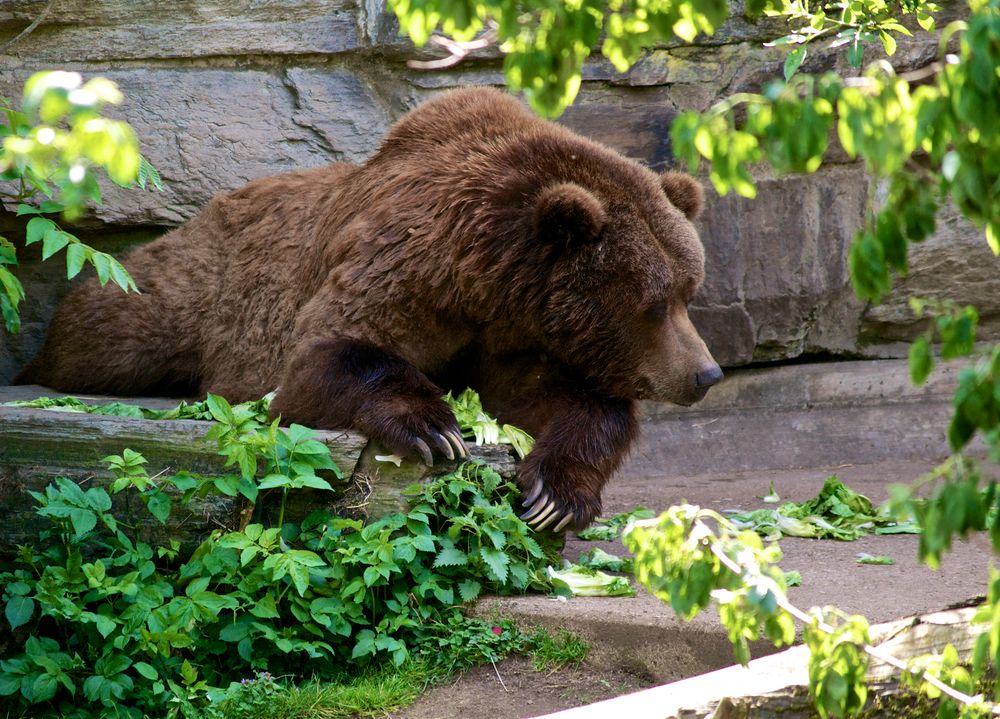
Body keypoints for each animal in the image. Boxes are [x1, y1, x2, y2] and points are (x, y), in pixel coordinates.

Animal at [19, 87, 724, 532]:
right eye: (653, 304)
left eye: (688, 291)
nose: (706, 373)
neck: (486, 280)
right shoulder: (406, 267)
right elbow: (327, 353)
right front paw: (433, 428)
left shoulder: (510, 331)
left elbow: (562, 399)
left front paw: (555, 494)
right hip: (184, 288)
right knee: (111, 322)